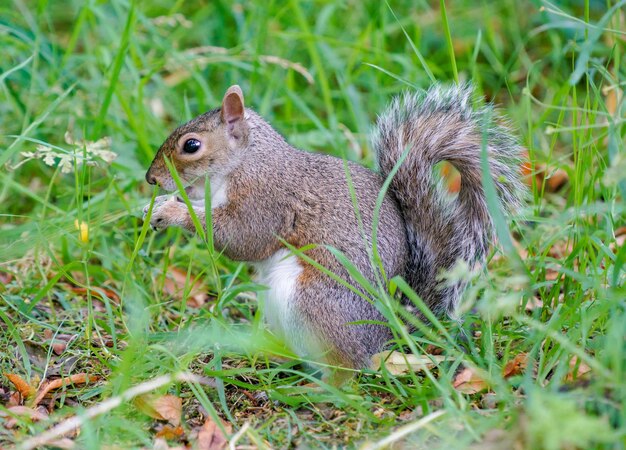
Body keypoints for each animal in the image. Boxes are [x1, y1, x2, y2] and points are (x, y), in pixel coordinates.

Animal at [141, 83, 520, 372]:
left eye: (191, 145)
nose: (151, 179)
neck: (247, 160)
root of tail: (384, 333)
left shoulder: (266, 199)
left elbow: (242, 238)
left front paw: (172, 212)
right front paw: (156, 207)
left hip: (316, 301)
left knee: (347, 369)